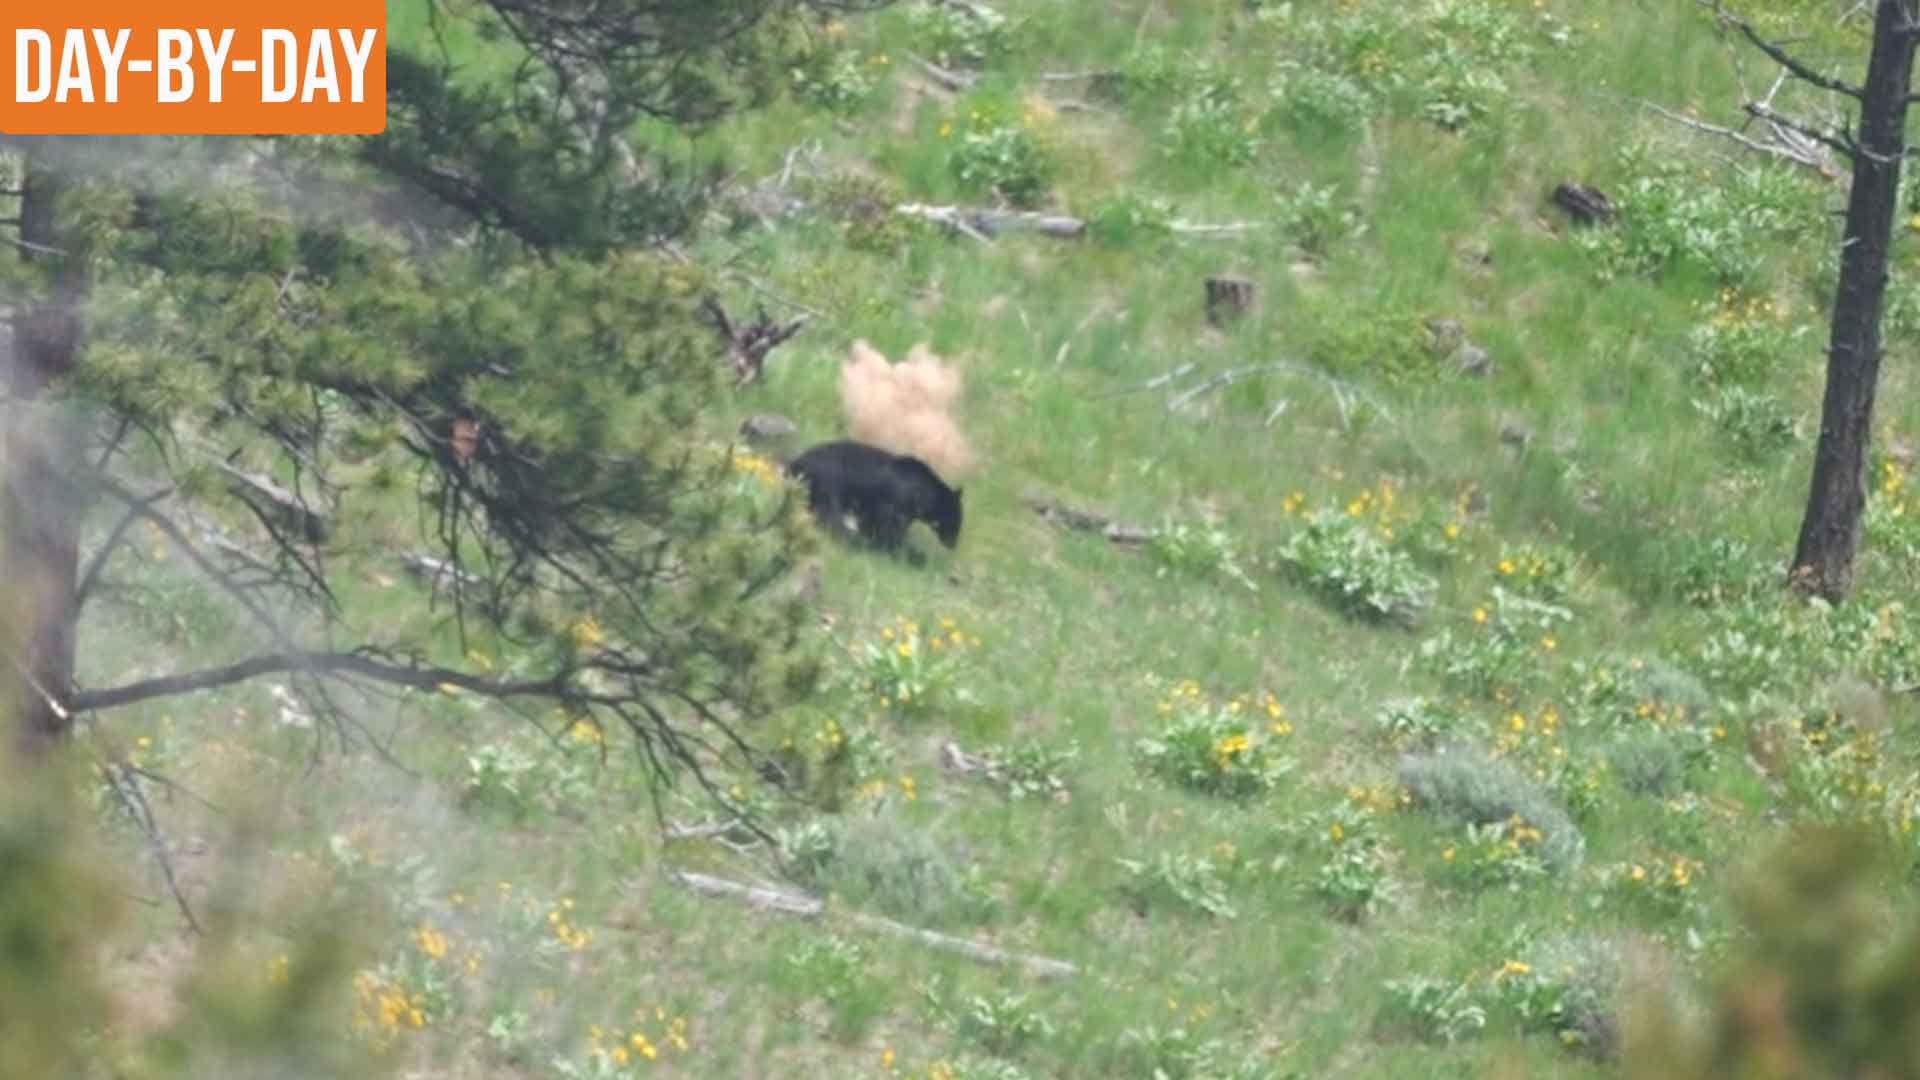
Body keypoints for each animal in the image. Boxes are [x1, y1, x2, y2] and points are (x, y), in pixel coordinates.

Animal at [786, 439, 963, 554]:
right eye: (956, 520)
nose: (953, 544)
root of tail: (794, 463)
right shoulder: (896, 504)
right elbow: (891, 528)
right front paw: (906, 552)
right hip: (829, 481)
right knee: (829, 514)